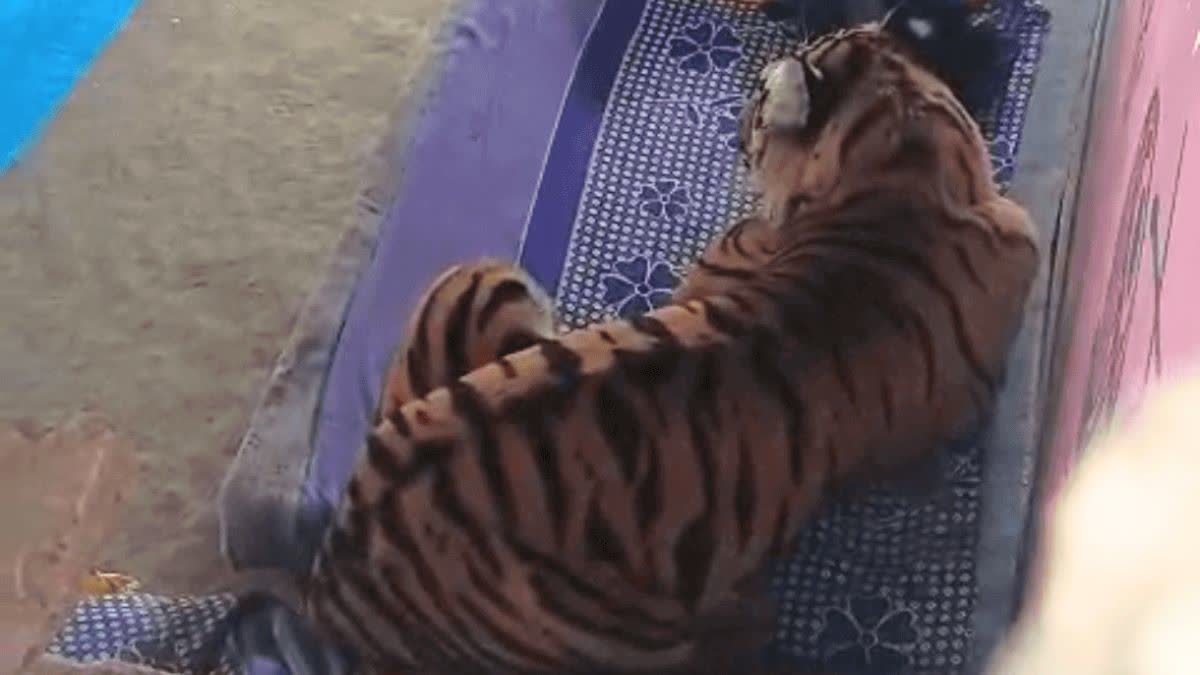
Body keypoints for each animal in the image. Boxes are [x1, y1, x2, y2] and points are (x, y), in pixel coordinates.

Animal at [299, 15, 1040, 675]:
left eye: (757, 104)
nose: (739, 130)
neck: (902, 164)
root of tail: (334, 576)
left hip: (474, 281)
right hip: (628, 632)